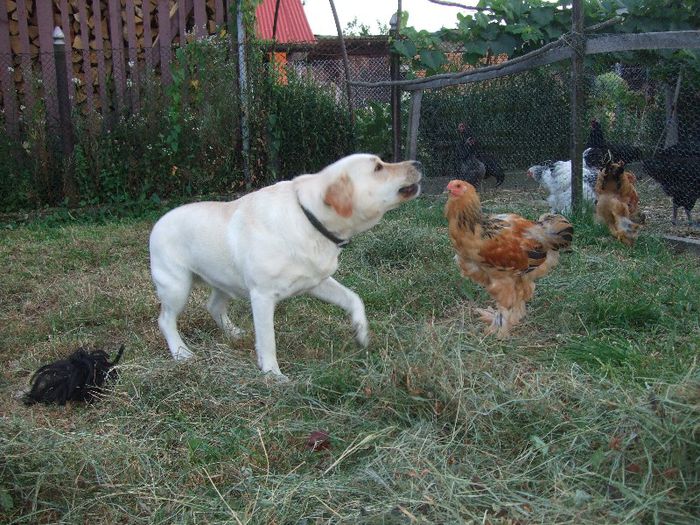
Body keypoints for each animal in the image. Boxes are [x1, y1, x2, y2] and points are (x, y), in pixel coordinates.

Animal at [148, 154, 422, 378]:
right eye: (378, 167)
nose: (418, 163)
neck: (308, 217)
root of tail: (158, 222)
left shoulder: (316, 281)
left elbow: (354, 298)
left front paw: (361, 332)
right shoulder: (262, 296)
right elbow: (268, 339)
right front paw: (273, 374)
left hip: (225, 281)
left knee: (213, 306)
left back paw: (234, 333)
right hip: (177, 286)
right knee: (165, 320)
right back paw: (181, 352)